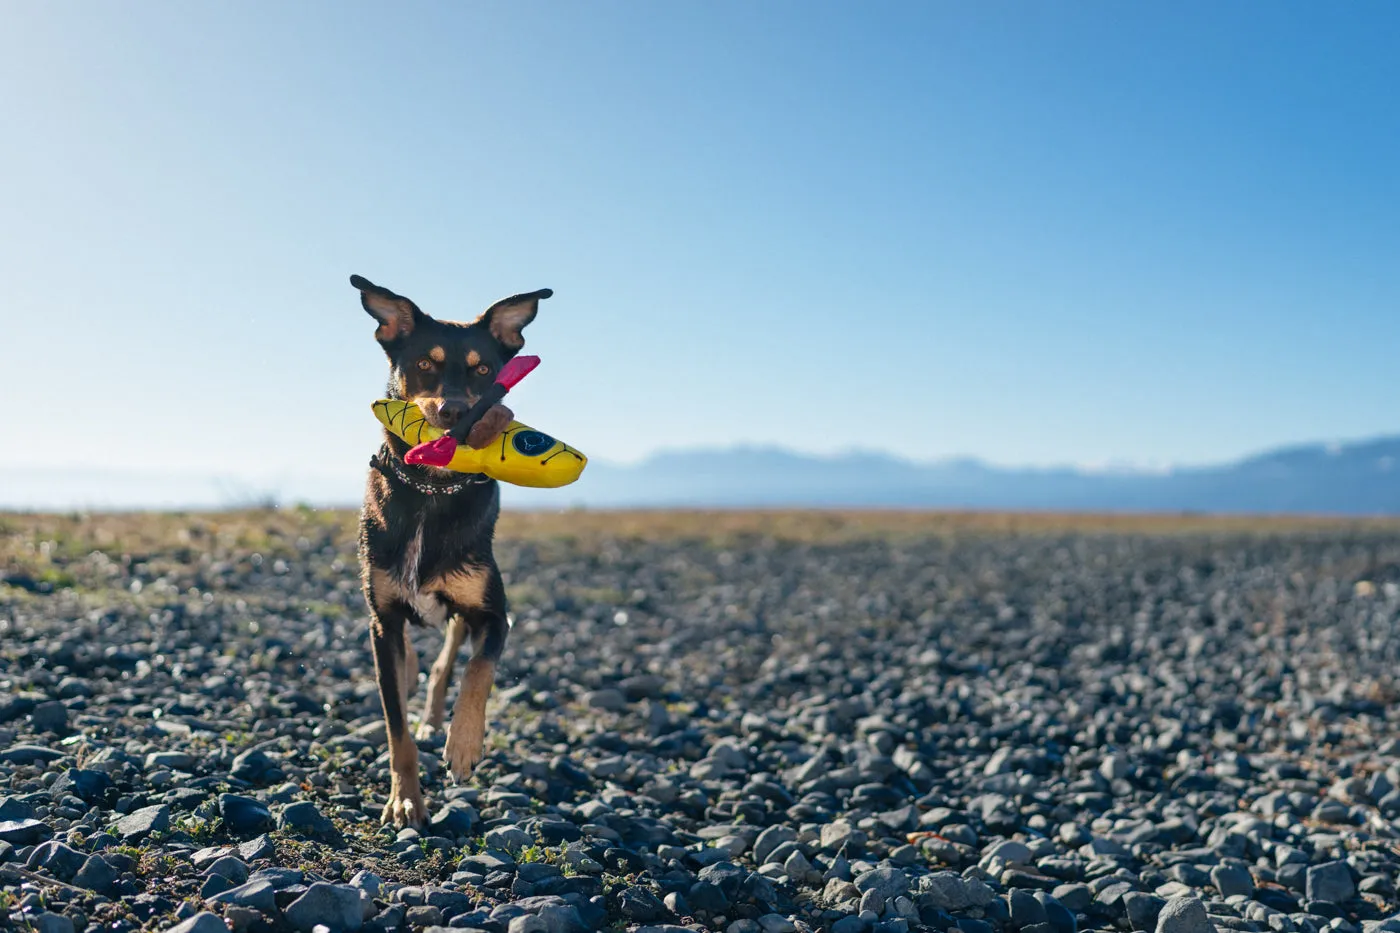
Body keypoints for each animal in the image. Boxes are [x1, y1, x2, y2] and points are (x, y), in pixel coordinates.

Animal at [347, 273, 548, 823]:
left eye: (482, 369)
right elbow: (395, 725)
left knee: (448, 655)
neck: (432, 490)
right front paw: (405, 799)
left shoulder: (494, 613)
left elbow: (478, 669)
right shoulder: (382, 618)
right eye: (424, 364)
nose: (454, 410)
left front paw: (462, 744)